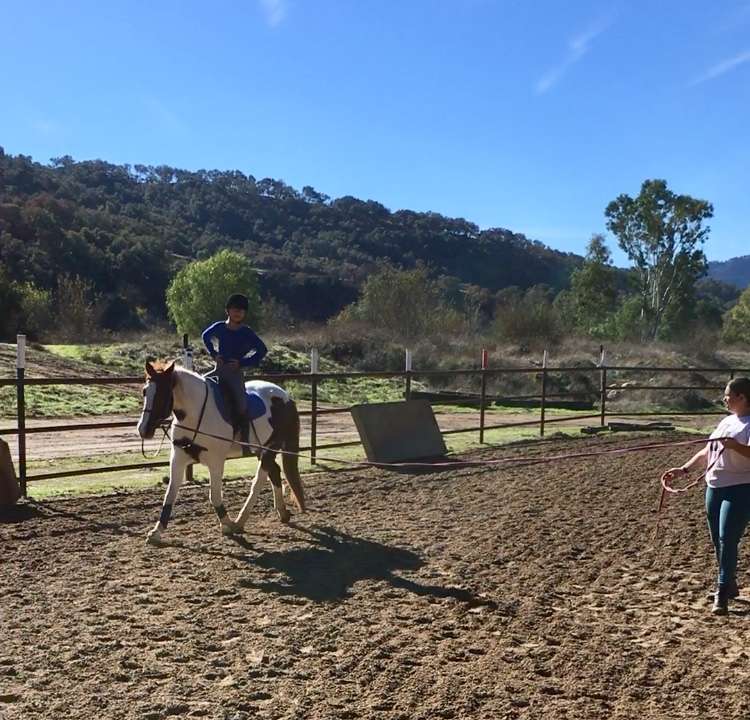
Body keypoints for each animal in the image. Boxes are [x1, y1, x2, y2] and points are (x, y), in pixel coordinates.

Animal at [138, 360, 306, 544]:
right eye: (145, 391)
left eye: (163, 393)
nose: (143, 429)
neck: (196, 415)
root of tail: (286, 397)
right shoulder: (178, 459)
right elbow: (169, 495)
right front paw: (156, 532)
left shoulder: (216, 462)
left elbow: (215, 496)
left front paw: (226, 524)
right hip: (260, 450)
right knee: (274, 472)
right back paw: (282, 513)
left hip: (270, 448)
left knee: (259, 481)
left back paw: (239, 522)